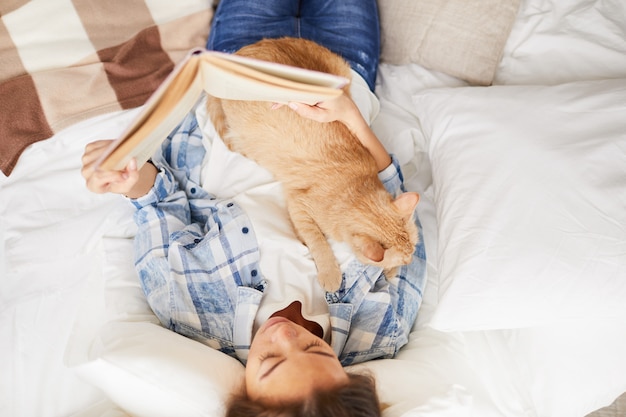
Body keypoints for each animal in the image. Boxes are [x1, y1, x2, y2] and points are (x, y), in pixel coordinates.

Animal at [207, 39, 416, 290]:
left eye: (412, 253)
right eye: (405, 259)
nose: (410, 262)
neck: (352, 186)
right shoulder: (299, 204)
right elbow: (317, 239)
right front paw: (330, 272)